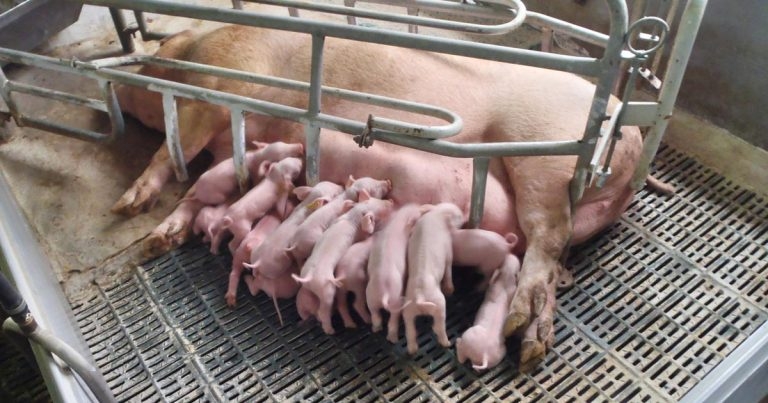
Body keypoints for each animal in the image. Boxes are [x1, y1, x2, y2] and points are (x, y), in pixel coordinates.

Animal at [292, 196, 394, 334]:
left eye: (375, 199)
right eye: (380, 210)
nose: (390, 201)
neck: (352, 218)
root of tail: (309, 277)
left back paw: (350, 325)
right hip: (328, 289)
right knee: (324, 310)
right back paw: (331, 330)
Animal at [366, 203, 428, 343]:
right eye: (417, 216)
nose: (418, 205)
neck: (398, 220)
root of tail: (384, 292)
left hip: (370, 298)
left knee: (375, 315)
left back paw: (376, 329)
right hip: (395, 299)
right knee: (393, 319)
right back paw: (393, 339)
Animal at [401, 203, 465, 354]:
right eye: (458, 215)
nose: (464, 216)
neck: (438, 213)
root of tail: (420, 297)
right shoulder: (449, 249)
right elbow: (448, 266)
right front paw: (449, 289)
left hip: (408, 309)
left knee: (410, 330)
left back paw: (412, 350)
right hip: (439, 303)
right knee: (438, 326)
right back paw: (447, 343)